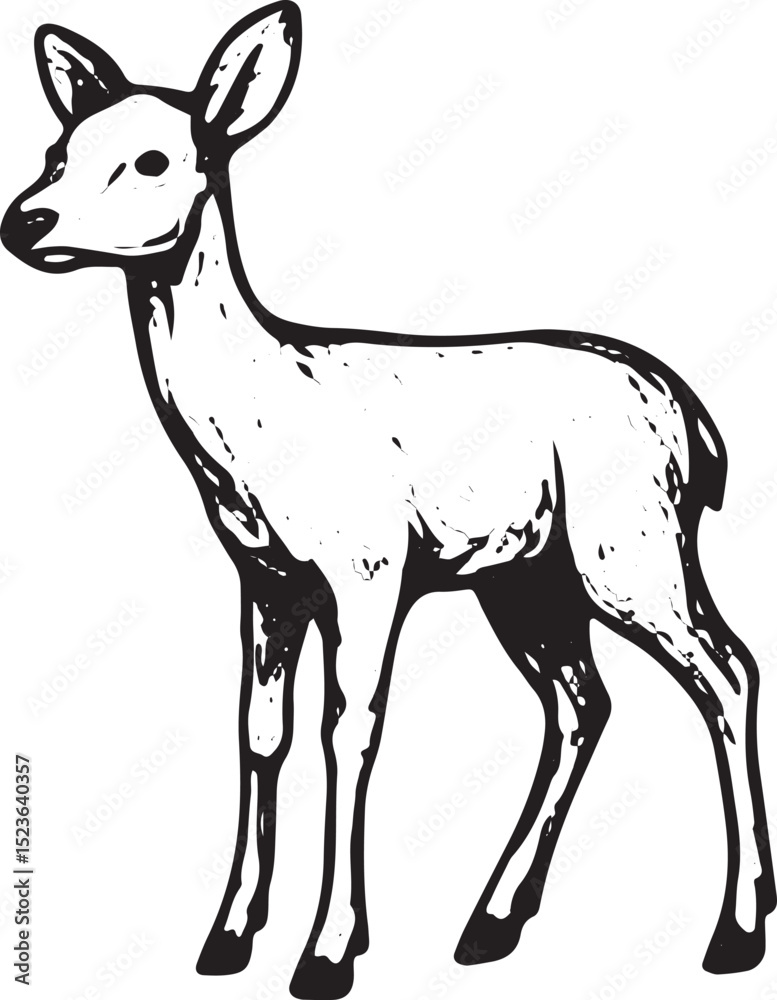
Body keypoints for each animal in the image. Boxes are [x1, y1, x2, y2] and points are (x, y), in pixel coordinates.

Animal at [2, 3, 774, 998]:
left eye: (153, 159)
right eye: (59, 147)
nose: (26, 220)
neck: (258, 426)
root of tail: (693, 421)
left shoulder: (366, 568)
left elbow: (351, 730)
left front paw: (327, 953)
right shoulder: (265, 578)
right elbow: (261, 733)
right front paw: (227, 938)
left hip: (629, 545)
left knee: (726, 667)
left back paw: (736, 933)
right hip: (527, 575)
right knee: (581, 699)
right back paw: (490, 923)